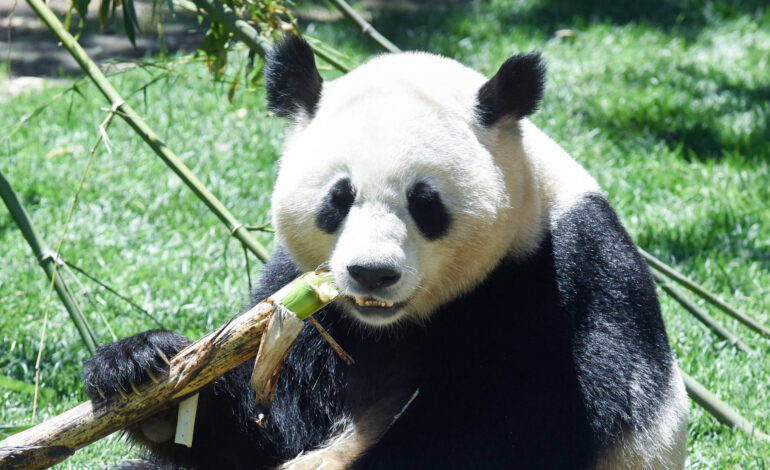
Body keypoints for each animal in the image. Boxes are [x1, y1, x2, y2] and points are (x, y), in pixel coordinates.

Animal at [84, 36, 689, 470]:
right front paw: (140, 367)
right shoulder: (306, 306)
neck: (395, 326)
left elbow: (516, 428)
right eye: (339, 198)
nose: (371, 273)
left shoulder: (558, 281)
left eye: (425, 203)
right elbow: (264, 424)